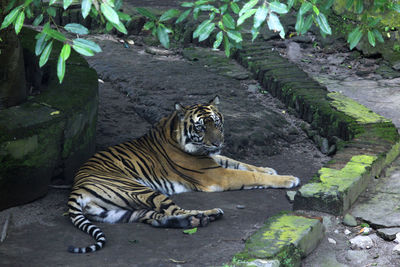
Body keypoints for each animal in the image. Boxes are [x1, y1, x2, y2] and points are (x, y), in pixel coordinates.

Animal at [68, 96, 300, 253]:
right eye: (201, 127)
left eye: (217, 123)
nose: (218, 142)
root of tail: (76, 189)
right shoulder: (216, 174)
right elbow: (248, 176)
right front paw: (289, 179)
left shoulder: (214, 161)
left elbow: (240, 163)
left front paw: (267, 168)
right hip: (140, 190)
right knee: (174, 209)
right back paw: (208, 214)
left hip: (120, 212)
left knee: (157, 217)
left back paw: (196, 220)